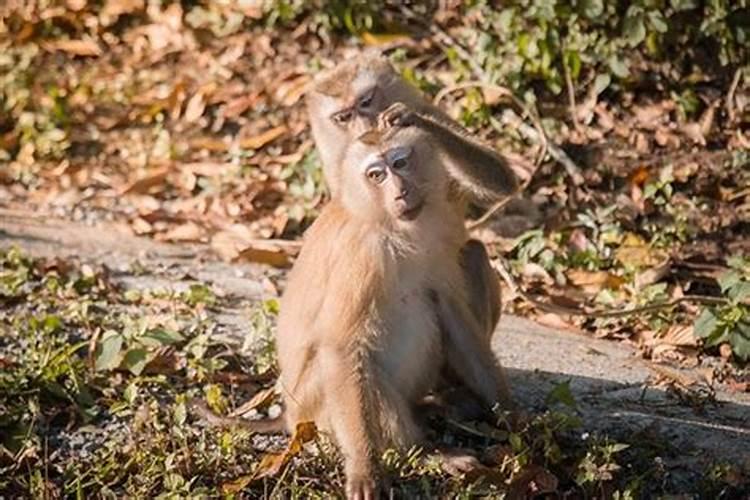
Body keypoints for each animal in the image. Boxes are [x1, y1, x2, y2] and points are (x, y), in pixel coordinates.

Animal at [274, 119, 516, 498]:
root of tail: (289, 416)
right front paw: (364, 468)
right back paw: (426, 453)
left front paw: (511, 419)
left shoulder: (437, 236)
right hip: (314, 413)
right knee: (362, 366)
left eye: (400, 163)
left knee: (452, 276)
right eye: (376, 175)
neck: (392, 228)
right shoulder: (363, 256)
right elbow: (342, 348)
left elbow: (453, 315)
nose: (401, 192)